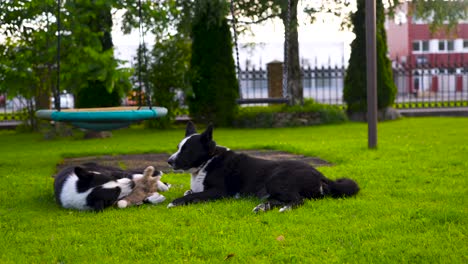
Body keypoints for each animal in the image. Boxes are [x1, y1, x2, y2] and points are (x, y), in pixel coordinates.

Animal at [168, 122, 362, 212]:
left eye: (186, 150)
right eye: (178, 147)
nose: (169, 161)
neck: (208, 161)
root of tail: (320, 175)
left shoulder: (219, 192)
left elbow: (192, 195)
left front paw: (174, 202)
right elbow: (190, 192)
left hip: (276, 179)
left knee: (298, 200)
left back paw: (284, 208)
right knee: (281, 199)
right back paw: (263, 207)